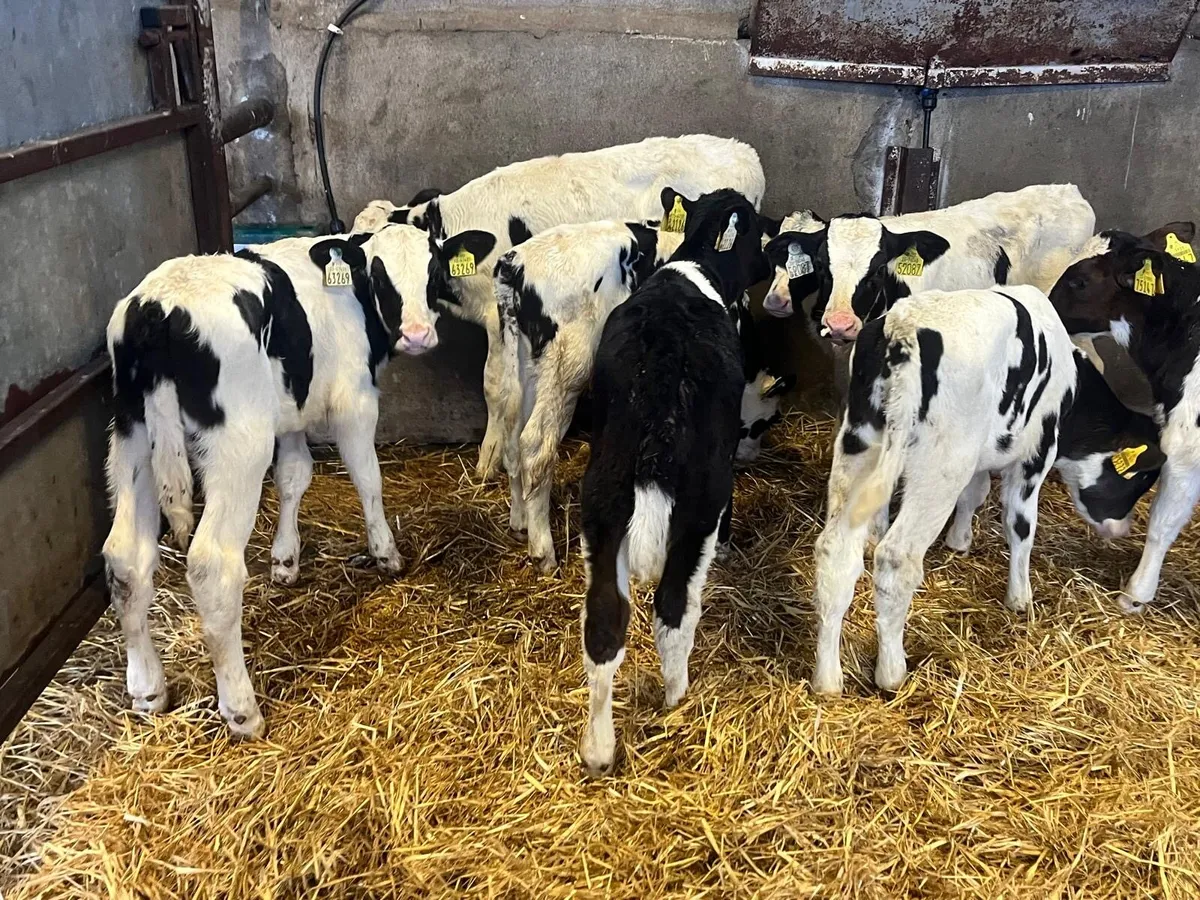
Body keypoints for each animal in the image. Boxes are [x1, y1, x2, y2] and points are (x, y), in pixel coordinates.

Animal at [101, 224, 491, 738]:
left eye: (432, 270)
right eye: (379, 275)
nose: (417, 335)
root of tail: (159, 308)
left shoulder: (290, 413)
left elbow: (294, 475)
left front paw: (285, 560)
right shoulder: (354, 401)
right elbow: (367, 476)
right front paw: (385, 553)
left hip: (132, 439)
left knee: (125, 557)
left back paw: (147, 689)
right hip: (238, 446)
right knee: (211, 567)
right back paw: (242, 711)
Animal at [352, 134, 766, 483]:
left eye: (423, 267)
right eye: (368, 261)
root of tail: (745, 152)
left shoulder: (496, 316)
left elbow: (496, 387)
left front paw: (488, 462)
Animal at [493, 212, 793, 570]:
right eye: (767, 421)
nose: (753, 456)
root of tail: (514, 264)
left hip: (524, 368)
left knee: (511, 438)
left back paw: (520, 521)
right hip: (565, 369)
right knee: (536, 446)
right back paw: (543, 549)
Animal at [577, 189, 769, 776]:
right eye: (760, 232)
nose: (768, 266)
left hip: (603, 501)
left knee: (604, 623)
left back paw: (599, 749)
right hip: (699, 499)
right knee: (673, 607)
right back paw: (677, 698)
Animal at [812, 285, 1162, 696]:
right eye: (1140, 479)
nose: (1122, 529)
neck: (1073, 386)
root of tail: (902, 328)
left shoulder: (982, 450)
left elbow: (974, 493)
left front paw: (960, 540)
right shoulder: (1037, 451)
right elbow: (1021, 525)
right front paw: (1020, 597)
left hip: (859, 443)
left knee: (836, 551)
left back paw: (827, 678)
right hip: (939, 467)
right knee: (896, 557)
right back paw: (892, 672)